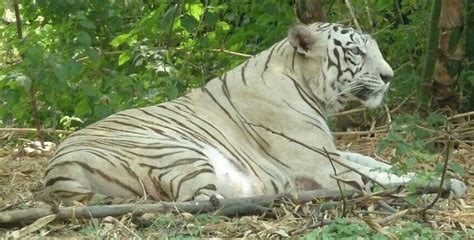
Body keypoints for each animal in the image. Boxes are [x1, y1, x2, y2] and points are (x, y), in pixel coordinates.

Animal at [41, 22, 466, 203]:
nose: (389, 76)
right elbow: (379, 177)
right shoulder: (325, 161)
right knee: (201, 201)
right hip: (179, 152)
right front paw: (445, 181)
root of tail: (56, 171)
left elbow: (375, 161)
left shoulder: (332, 150)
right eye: (357, 52)